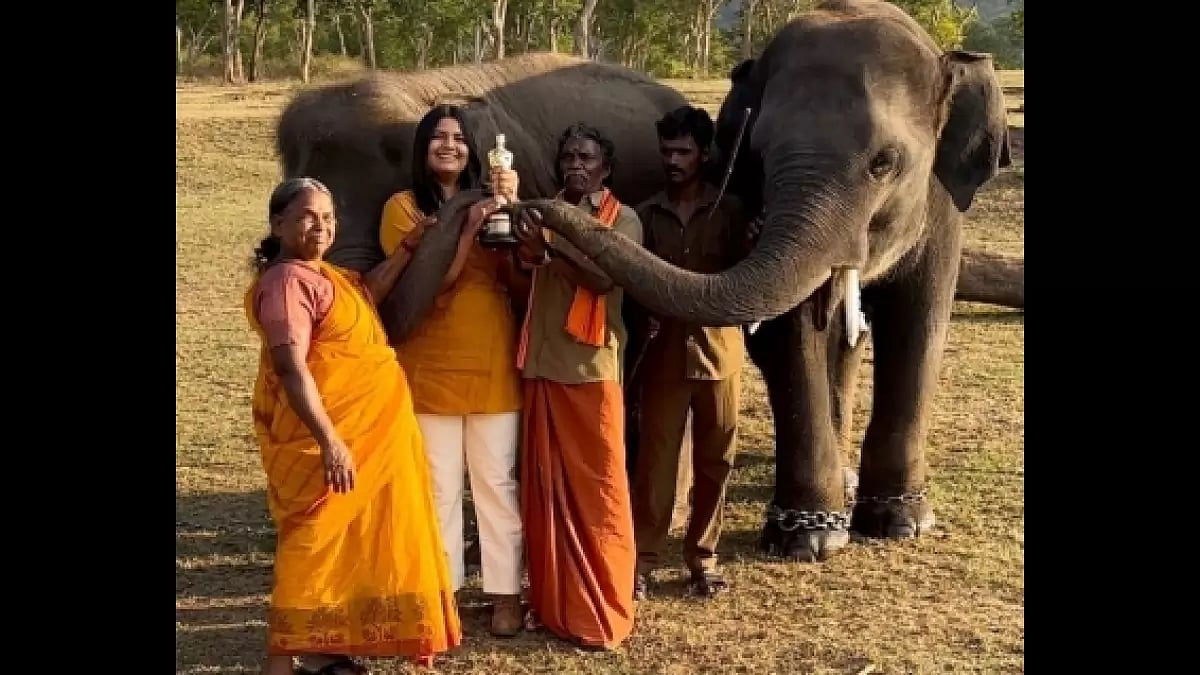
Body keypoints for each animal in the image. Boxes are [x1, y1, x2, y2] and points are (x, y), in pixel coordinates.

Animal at [498, 0, 1017, 562]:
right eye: (760, 156)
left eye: (885, 163)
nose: (527, 208)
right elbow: (789, 334)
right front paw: (808, 539)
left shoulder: (943, 204)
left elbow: (919, 324)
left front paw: (900, 522)